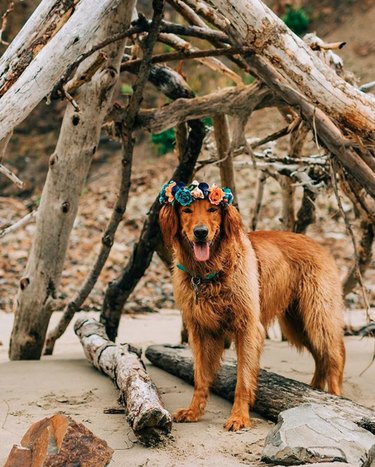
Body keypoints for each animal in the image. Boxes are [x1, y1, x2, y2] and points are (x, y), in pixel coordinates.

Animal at [157, 179, 346, 432]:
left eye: (212, 209)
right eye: (187, 210)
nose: (200, 233)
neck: (208, 273)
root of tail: (319, 245)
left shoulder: (247, 327)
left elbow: (243, 378)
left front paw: (239, 416)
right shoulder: (200, 330)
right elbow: (200, 377)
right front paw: (194, 411)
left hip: (317, 316)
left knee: (335, 356)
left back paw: (334, 398)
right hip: (297, 324)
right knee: (321, 358)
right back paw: (316, 391)